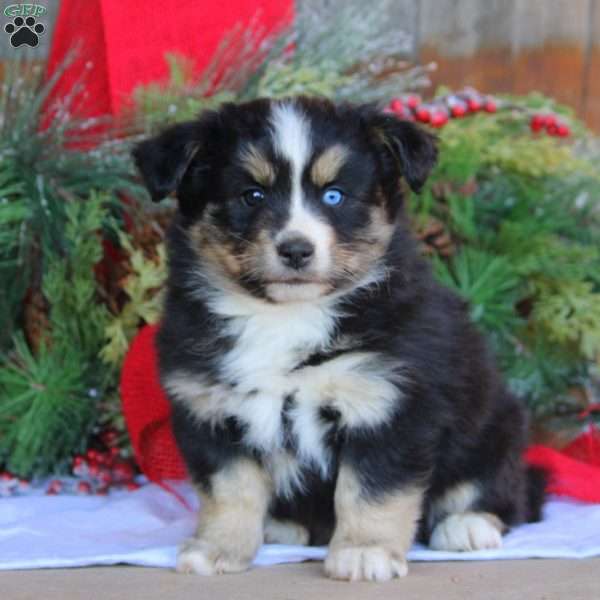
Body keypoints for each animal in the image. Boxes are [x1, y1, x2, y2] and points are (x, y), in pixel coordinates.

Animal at [134, 97, 548, 580]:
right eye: (252, 194)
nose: (296, 250)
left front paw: (365, 553)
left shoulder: (389, 404)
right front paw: (217, 549)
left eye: (334, 195)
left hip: (496, 428)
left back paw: (467, 526)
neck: (285, 316)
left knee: (509, 493)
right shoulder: (211, 412)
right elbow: (230, 491)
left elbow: (371, 491)